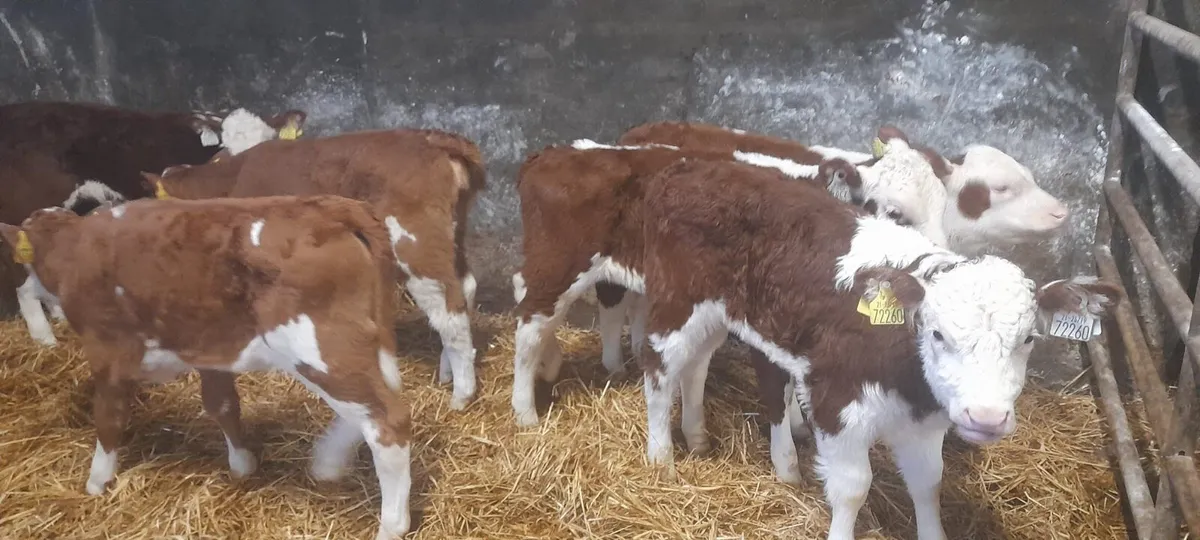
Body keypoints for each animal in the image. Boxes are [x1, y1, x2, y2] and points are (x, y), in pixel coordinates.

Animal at [0, 195, 412, 540]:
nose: (26, 290)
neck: (74, 248)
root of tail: (334, 206)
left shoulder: (107, 351)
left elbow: (109, 417)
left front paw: (97, 481)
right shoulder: (210, 349)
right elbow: (222, 404)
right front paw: (242, 464)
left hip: (319, 348)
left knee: (387, 423)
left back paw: (391, 524)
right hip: (358, 345)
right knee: (378, 405)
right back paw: (327, 462)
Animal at [141, 128, 486, 410]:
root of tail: (432, 138)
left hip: (415, 243)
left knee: (448, 309)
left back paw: (461, 394)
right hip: (452, 233)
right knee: (466, 287)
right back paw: (448, 370)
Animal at [636, 158, 1118, 540]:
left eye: (1028, 339)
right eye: (938, 335)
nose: (986, 418)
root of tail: (691, 168)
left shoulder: (926, 422)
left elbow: (928, 484)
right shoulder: (837, 404)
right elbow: (853, 488)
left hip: (724, 314)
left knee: (700, 365)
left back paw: (702, 437)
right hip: (676, 304)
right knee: (659, 374)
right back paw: (661, 461)